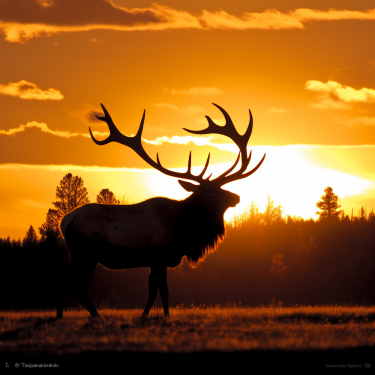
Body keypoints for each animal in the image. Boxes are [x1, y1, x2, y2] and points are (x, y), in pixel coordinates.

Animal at [57, 103, 266, 320]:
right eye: (209, 190)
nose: (236, 197)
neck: (185, 230)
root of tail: (65, 221)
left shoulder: (157, 261)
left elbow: (157, 290)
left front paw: (153, 315)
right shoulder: (159, 256)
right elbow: (160, 291)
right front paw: (155, 316)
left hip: (82, 255)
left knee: (70, 282)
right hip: (85, 253)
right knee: (72, 283)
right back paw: (88, 316)